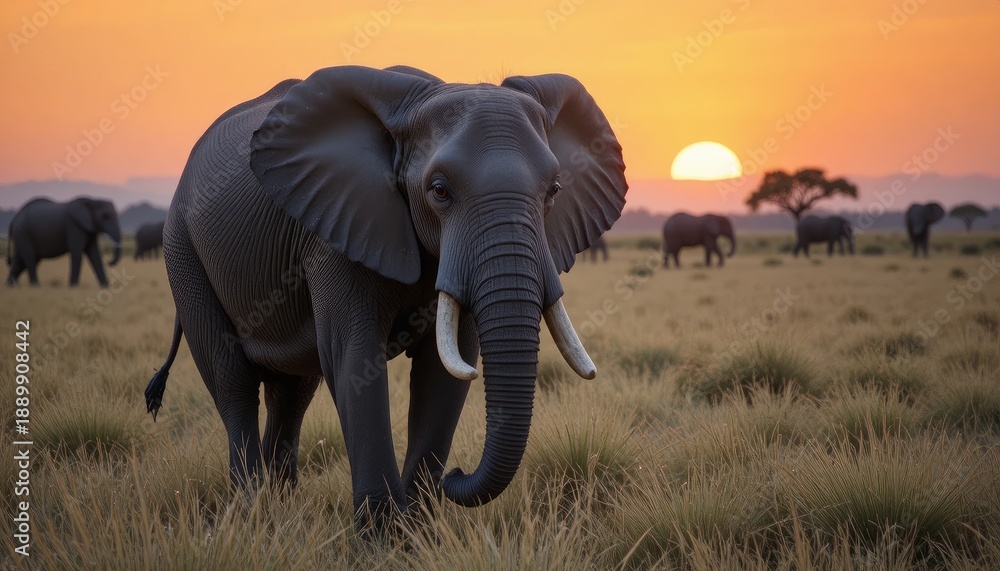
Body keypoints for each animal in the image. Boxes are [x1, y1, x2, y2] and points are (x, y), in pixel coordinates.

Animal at [144, 65, 627, 530]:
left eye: (555, 191)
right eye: (439, 190)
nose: (457, 474)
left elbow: (447, 367)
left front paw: (416, 532)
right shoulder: (333, 231)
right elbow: (354, 357)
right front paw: (381, 535)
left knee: (293, 391)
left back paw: (280, 506)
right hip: (183, 250)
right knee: (233, 380)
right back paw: (252, 514)